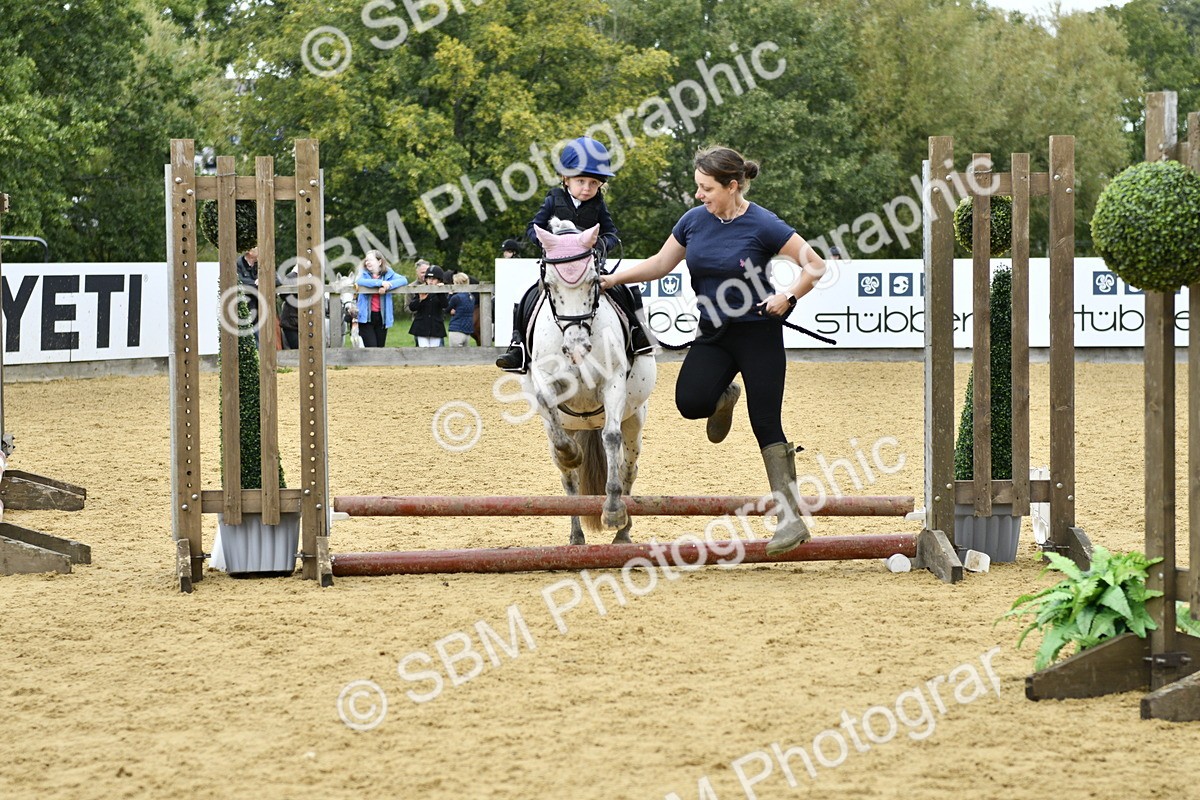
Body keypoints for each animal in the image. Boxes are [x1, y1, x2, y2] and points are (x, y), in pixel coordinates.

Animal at [524, 223, 657, 544]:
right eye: (549, 285)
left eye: (595, 281)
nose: (576, 346)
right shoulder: (546, 382)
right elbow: (546, 403)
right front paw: (572, 454)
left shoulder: (613, 384)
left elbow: (611, 438)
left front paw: (613, 511)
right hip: (567, 426)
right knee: (568, 478)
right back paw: (576, 536)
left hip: (635, 419)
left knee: (627, 467)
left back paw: (622, 532)